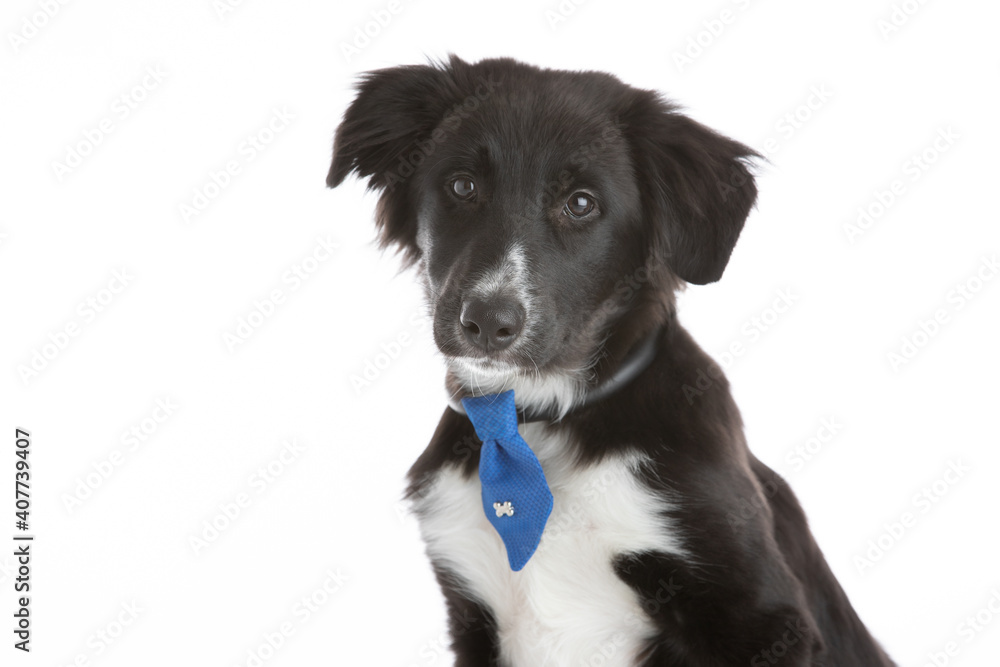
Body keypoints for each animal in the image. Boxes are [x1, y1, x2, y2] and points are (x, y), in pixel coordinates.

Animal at [326, 56, 892, 667]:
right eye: (462, 185)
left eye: (581, 203)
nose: (487, 323)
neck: (541, 423)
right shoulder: (471, 601)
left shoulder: (764, 617)